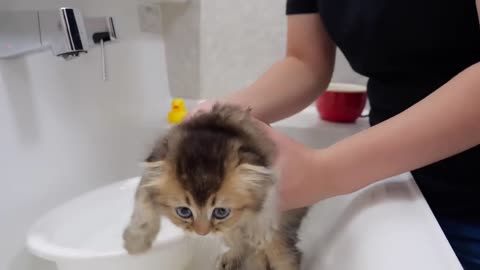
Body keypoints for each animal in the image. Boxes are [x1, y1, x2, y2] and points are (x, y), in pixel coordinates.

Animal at [123, 104, 308, 270]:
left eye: (221, 212)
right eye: (184, 211)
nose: (202, 233)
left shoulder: (268, 157)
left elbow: (270, 188)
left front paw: (260, 228)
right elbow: (142, 196)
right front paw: (136, 240)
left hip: (280, 235)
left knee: (286, 256)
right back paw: (232, 258)